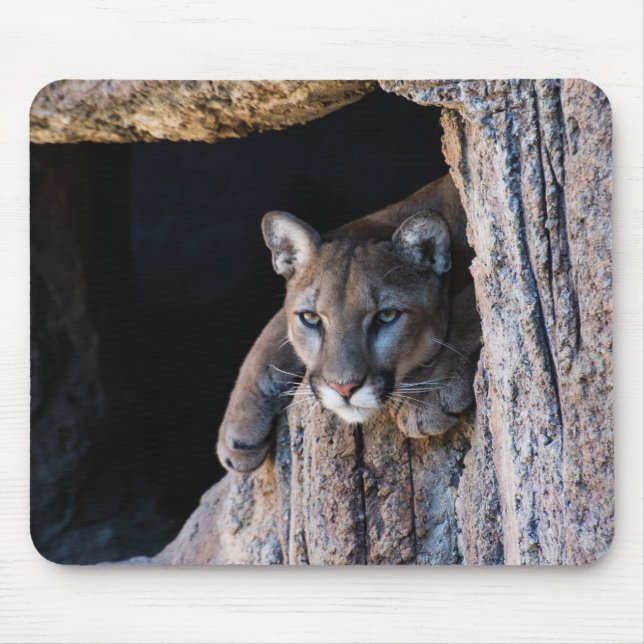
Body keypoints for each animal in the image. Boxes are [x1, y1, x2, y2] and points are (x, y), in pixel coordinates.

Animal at [217, 174, 481, 473]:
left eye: (386, 316)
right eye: (310, 318)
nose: (343, 388)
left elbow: (475, 299)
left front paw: (431, 390)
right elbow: (271, 330)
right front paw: (236, 432)